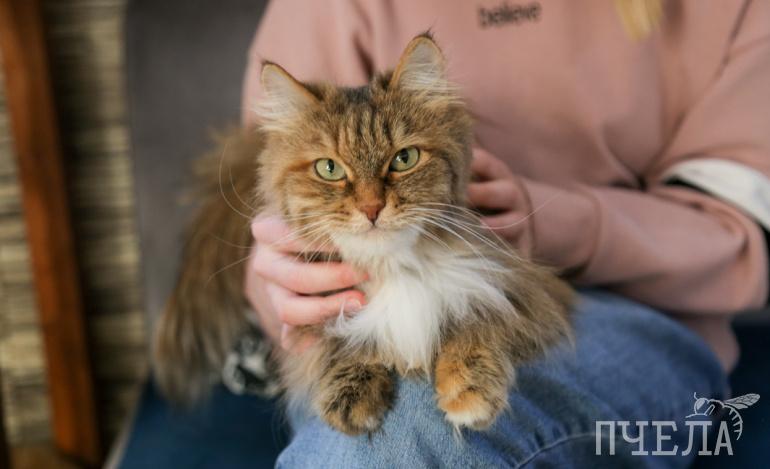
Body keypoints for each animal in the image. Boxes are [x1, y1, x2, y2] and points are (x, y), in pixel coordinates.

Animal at [153, 33, 573, 435]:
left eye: (404, 159)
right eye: (329, 169)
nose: (372, 208)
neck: (393, 268)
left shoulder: (526, 286)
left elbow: (477, 320)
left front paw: (467, 392)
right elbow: (336, 341)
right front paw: (352, 392)